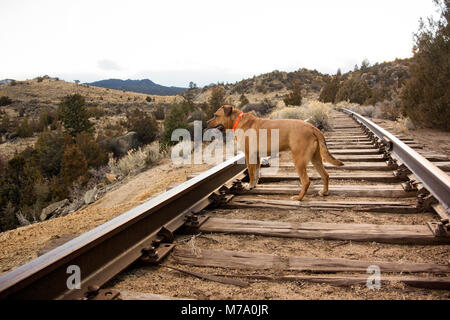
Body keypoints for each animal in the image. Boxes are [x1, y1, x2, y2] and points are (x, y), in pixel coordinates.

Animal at [208, 105, 344, 200]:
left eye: (215, 115)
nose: (207, 122)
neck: (237, 120)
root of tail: (312, 127)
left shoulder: (249, 155)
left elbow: (251, 173)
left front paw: (250, 185)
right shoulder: (256, 156)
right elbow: (256, 173)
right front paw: (254, 185)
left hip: (299, 160)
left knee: (306, 181)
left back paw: (299, 198)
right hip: (315, 158)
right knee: (325, 175)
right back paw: (324, 192)